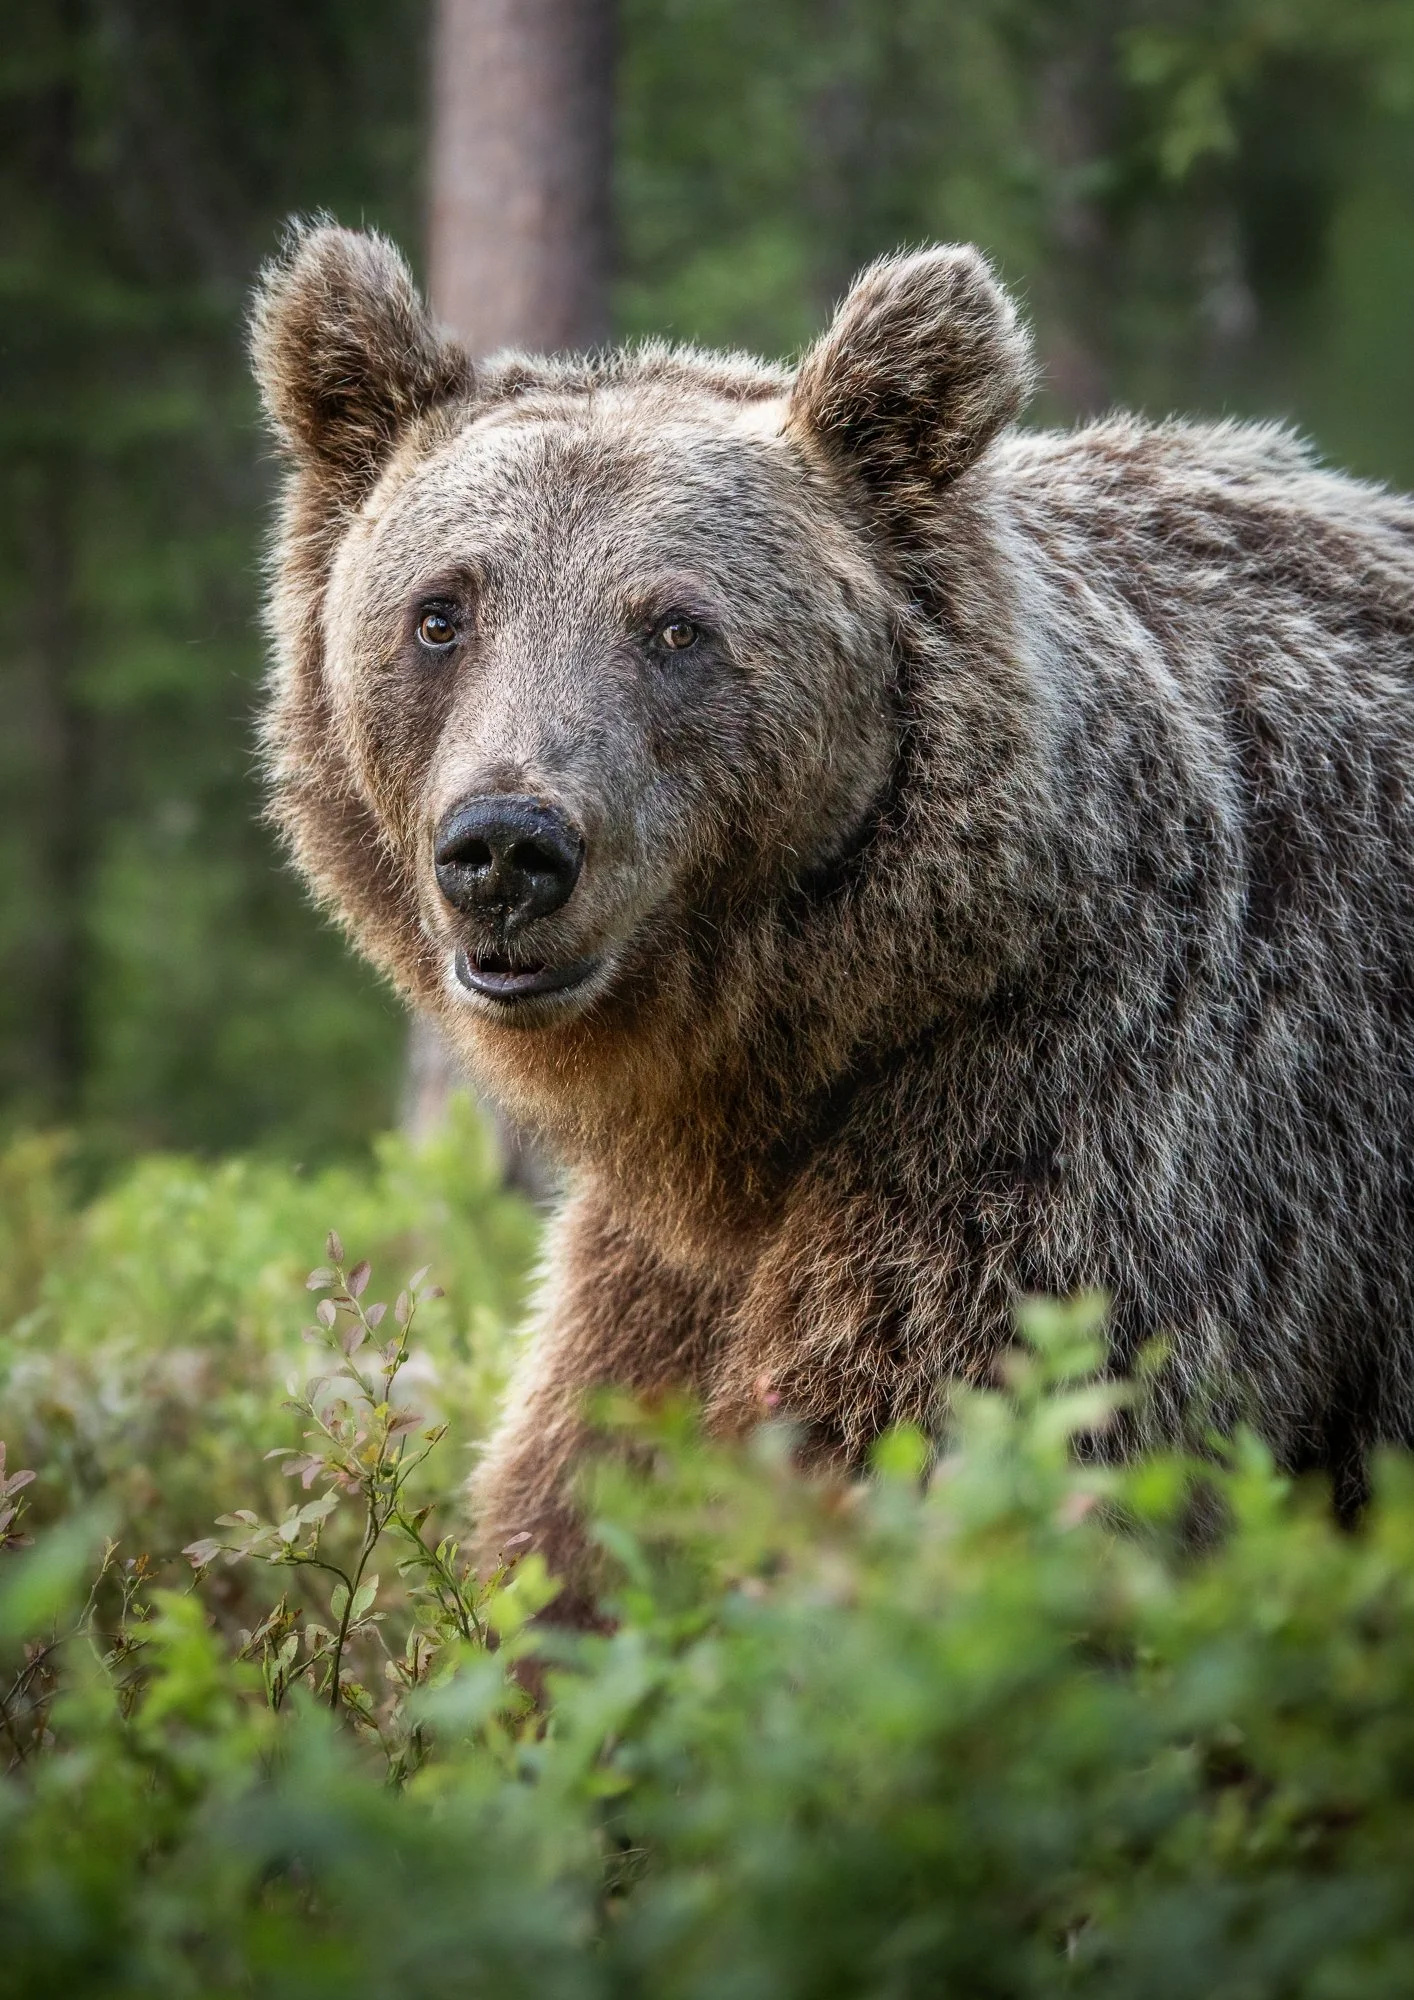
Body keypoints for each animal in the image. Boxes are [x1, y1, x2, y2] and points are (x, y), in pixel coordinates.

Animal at [251, 220, 1414, 1600]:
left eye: (675, 627)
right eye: (441, 611)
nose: (505, 846)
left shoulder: (1095, 1114)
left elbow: (934, 1442)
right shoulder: (658, 1267)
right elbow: (581, 1489)